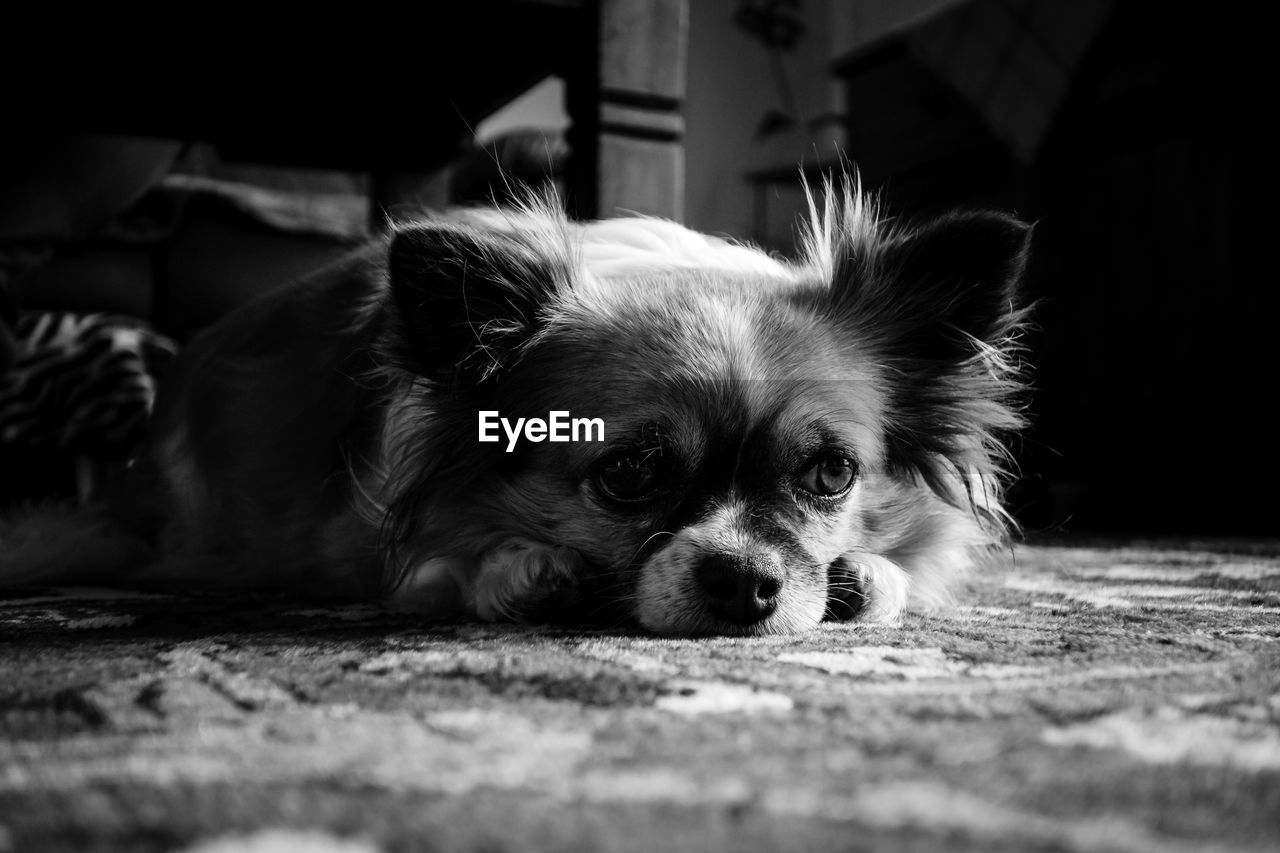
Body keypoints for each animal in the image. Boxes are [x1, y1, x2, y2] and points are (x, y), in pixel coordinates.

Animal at [0, 178, 1034, 630]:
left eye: (830, 474)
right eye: (628, 474)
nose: (746, 583)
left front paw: (868, 573)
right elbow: (445, 567)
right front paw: (517, 566)